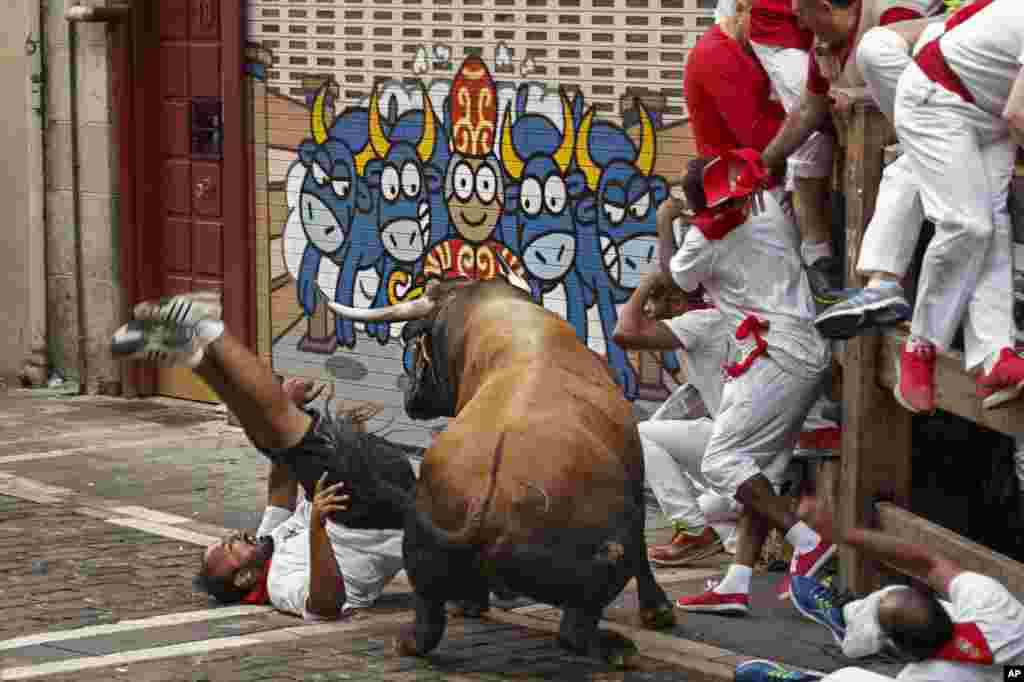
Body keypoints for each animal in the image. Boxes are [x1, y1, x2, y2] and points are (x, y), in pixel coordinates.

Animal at [331, 264, 675, 663]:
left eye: (417, 348)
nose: (410, 395)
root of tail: (488, 502)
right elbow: (643, 550)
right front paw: (657, 610)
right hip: (603, 555)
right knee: (576, 627)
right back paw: (617, 648)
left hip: (423, 554)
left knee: (428, 617)